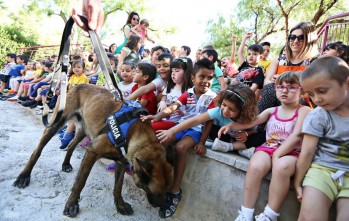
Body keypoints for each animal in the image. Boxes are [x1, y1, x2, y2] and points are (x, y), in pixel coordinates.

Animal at [13, 83, 174, 217]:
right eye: (155, 191)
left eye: (167, 191)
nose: (164, 208)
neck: (138, 138)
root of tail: (79, 85)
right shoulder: (92, 151)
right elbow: (80, 182)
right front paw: (71, 204)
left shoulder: (122, 162)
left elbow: (118, 186)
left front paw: (120, 205)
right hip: (55, 125)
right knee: (37, 151)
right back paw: (24, 176)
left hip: (83, 131)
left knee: (71, 145)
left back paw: (65, 164)